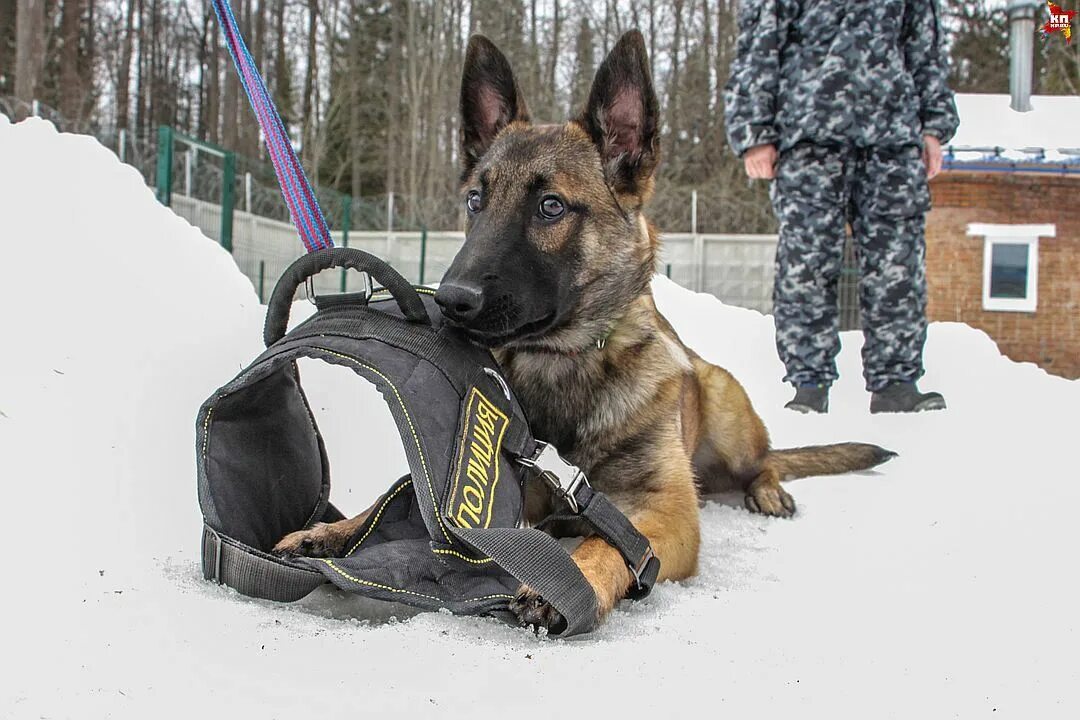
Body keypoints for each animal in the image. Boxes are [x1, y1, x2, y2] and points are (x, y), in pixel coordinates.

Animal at [276, 31, 894, 630]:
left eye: (551, 207)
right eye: (475, 201)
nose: (450, 301)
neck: (562, 361)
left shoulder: (668, 511)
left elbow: (611, 540)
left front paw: (574, 578)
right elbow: (390, 495)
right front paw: (329, 531)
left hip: (725, 407)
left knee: (765, 461)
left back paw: (769, 491)